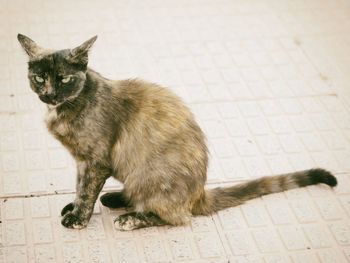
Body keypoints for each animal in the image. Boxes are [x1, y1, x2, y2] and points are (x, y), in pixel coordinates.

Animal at [17, 34, 338, 232]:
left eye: (64, 79)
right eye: (39, 78)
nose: (48, 94)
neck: (69, 105)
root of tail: (199, 193)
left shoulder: (95, 161)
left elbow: (86, 191)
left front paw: (78, 218)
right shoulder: (82, 162)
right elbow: (79, 186)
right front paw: (74, 207)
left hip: (148, 175)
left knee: (175, 216)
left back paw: (130, 219)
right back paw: (116, 200)